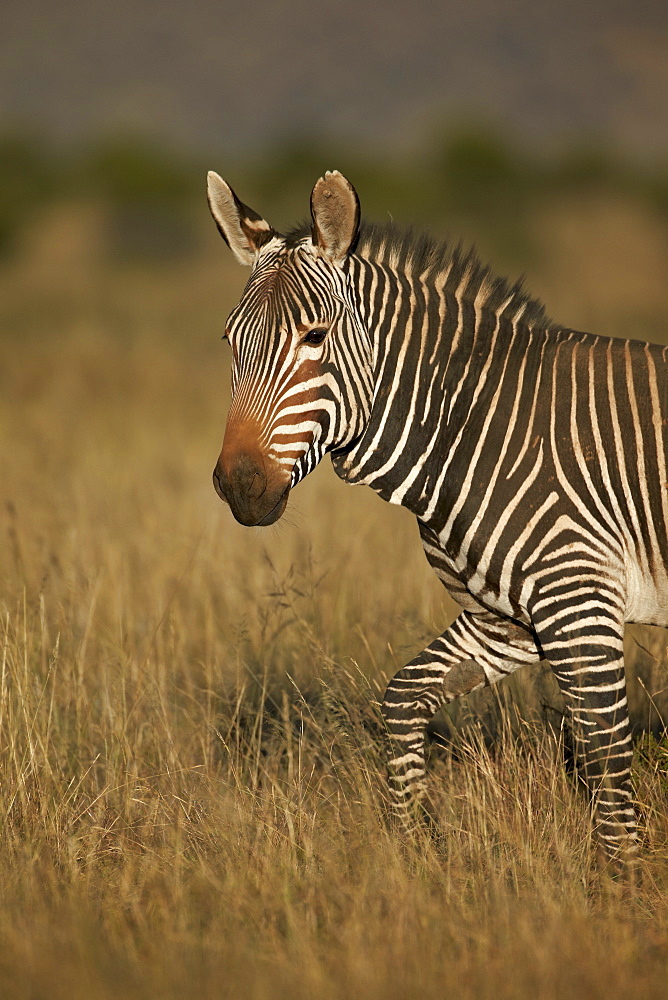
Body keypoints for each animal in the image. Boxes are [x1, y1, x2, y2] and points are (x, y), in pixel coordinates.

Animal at [206, 168, 664, 864]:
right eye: (232, 344)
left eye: (315, 338)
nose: (239, 487)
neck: (473, 424)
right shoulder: (506, 620)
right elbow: (401, 701)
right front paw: (416, 849)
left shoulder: (578, 601)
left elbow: (607, 763)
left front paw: (628, 882)